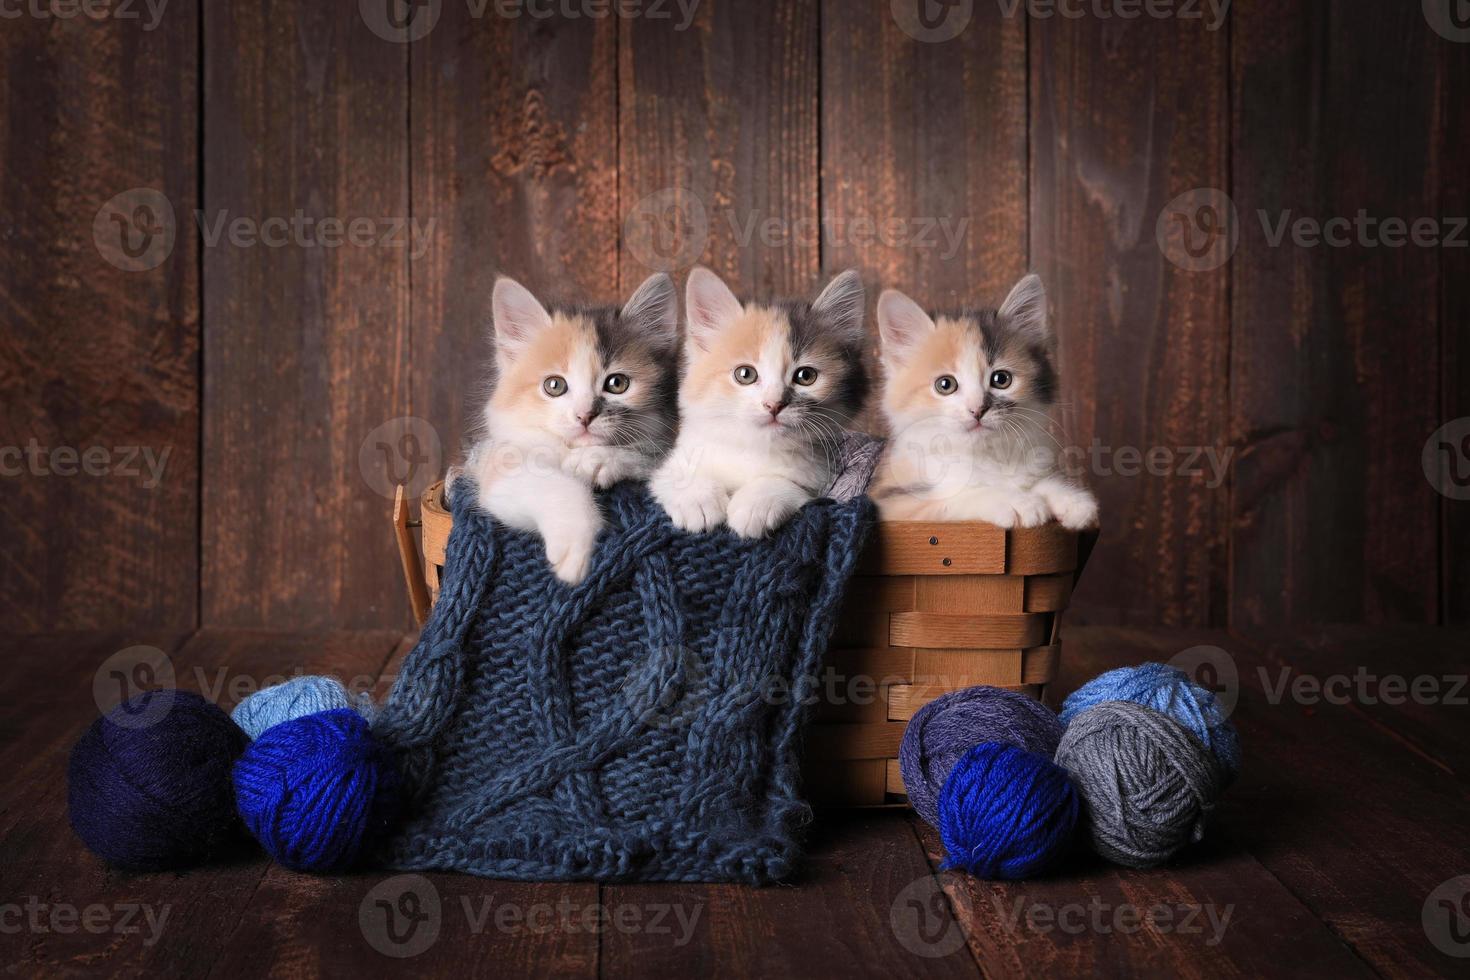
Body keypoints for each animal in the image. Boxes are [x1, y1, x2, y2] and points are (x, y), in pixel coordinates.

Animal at [455, 271, 679, 587]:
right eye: (554, 385)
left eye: (617, 383)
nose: (585, 415)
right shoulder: (496, 464)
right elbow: (550, 482)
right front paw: (575, 546)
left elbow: (649, 458)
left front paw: (598, 461)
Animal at [649, 265, 864, 537]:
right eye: (745, 374)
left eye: (806, 376)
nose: (774, 404)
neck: (755, 448)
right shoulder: (670, 461)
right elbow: (675, 474)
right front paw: (697, 500)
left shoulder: (821, 482)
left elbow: (786, 484)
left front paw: (756, 504)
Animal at [864, 271, 1099, 531]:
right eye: (945, 385)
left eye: (1001, 379)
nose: (977, 410)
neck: (985, 455)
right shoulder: (891, 502)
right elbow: (956, 497)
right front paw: (1016, 501)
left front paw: (1069, 498)